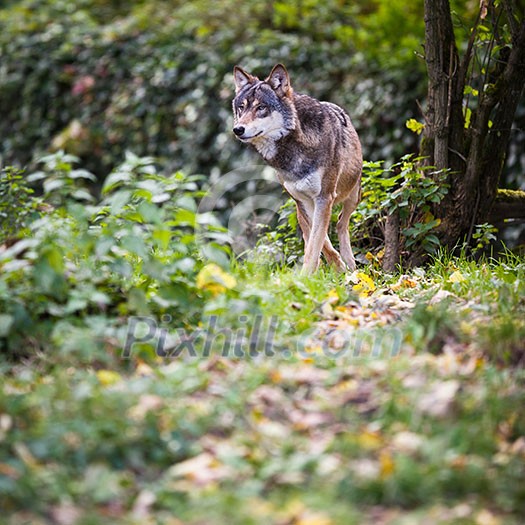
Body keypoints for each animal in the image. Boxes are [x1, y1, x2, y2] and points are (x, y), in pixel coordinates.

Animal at [232, 63, 360, 272]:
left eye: (261, 108)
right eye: (241, 108)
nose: (238, 129)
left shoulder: (324, 198)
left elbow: (316, 242)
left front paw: (311, 274)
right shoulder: (303, 200)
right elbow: (319, 242)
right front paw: (329, 267)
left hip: (353, 196)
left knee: (342, 223)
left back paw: (350, 262)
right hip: (299, 207)